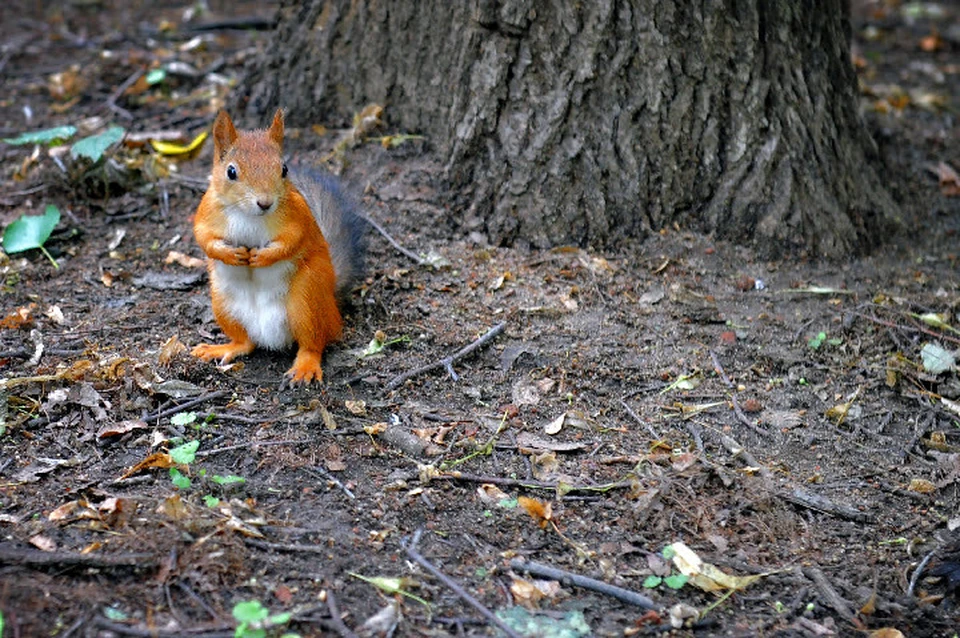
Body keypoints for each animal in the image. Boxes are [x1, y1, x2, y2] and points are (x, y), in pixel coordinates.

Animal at [191, 109, 364, 384]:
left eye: (284, 169)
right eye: (231, 172)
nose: (265, 203)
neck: (248, 215)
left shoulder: (298, 216)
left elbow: (292, 240)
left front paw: (263, 257)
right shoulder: (206, 212)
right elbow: (204, 238)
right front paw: (230, 254)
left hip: (307, 300)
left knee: (313, 343)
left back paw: (305, 366)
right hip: (223, 303)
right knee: (246, 343)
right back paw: (223, 348)